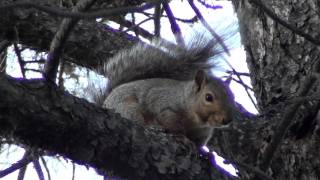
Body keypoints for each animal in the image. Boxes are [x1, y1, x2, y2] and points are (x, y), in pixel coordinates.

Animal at [95, 35, 235, 146]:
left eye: (232, 97)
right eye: (208, 97)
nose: (227, 119)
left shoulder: (202, 134)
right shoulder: (163, 103)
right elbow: (169, 121)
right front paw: (182, 137)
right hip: (127, 107)